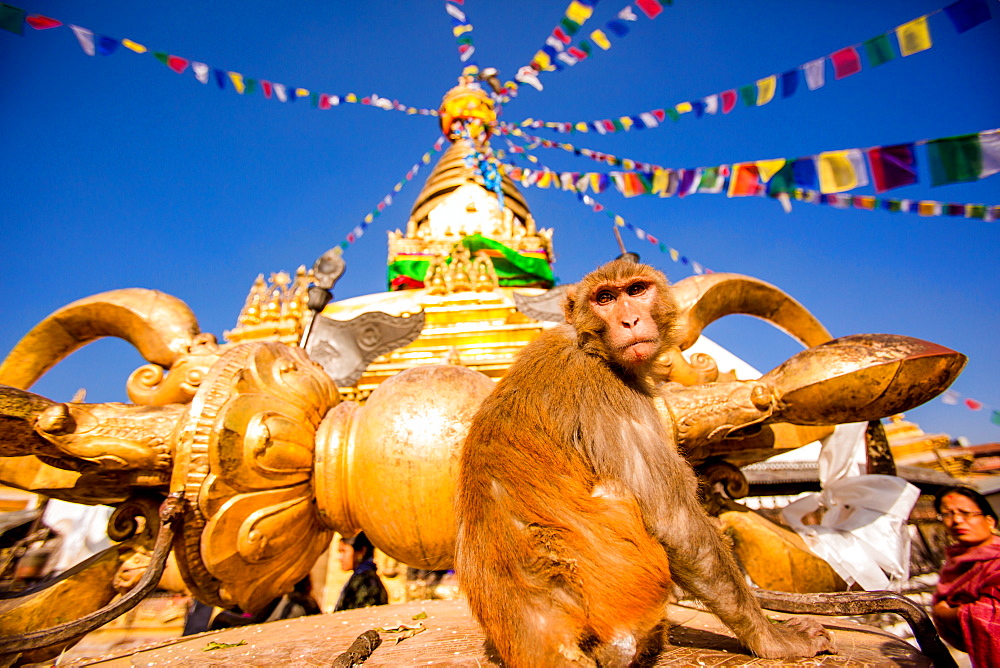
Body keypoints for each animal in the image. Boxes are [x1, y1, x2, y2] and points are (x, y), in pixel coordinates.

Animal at [458, 258, 832, 664]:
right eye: (605, 298)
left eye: (636, 290)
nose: (629, 321)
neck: (589, 344)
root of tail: (538, 635)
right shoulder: (610, 388)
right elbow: (674, 522)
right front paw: (772, 638)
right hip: (629, 588)